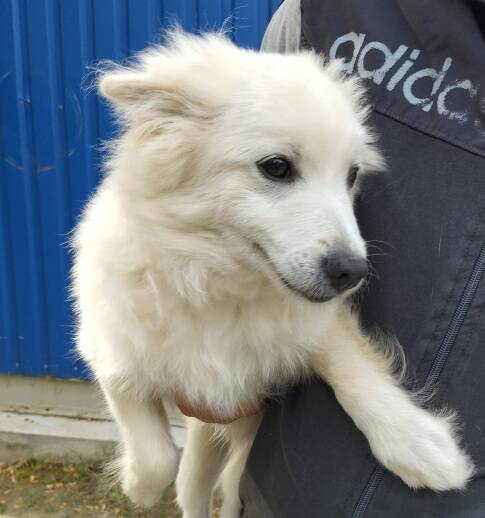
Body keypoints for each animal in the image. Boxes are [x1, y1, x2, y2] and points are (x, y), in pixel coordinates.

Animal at [72, 31, 474, 518]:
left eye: (352, 174)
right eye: (277, 166)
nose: (353, 272)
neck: (219, 282)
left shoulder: (318, 323)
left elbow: (349, 364)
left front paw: (417, 443)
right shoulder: (110, 354)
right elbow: (155, 455)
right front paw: (138, 486)